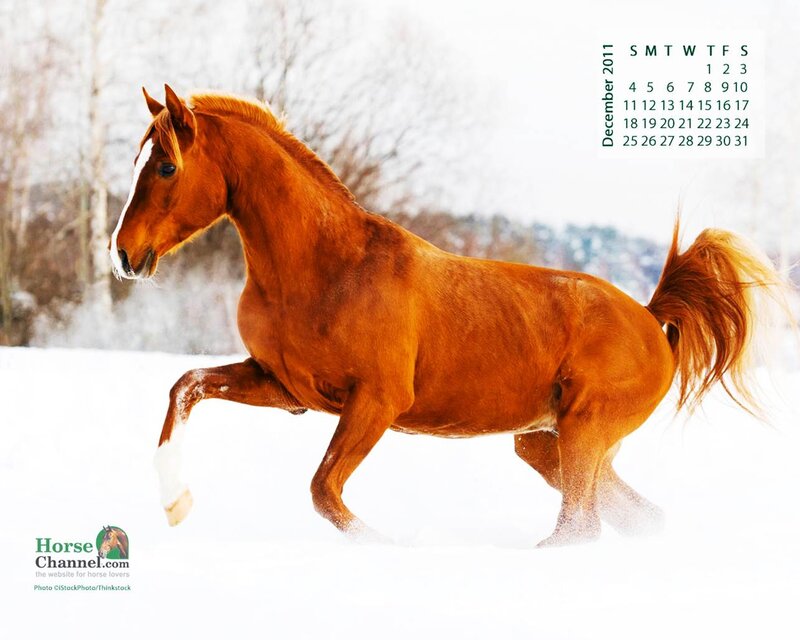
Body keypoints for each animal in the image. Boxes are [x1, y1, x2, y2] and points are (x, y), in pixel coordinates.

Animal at [110, 84, 785, 547]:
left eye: (166, 165)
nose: (122, 255)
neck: (326, 268)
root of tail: (652, 318)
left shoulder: (377, 401)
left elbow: (325, 493)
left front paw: (392, 547)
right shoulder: (286, 388)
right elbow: (185, 387)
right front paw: (174, 503)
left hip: (584, 433)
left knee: (580, 528)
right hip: (547, 443)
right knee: (632, 516)